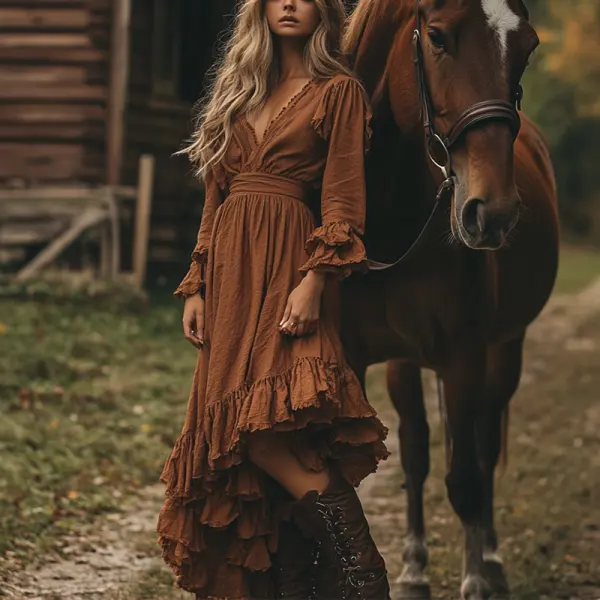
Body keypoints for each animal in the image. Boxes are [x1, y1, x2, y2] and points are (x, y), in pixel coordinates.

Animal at [340, 1, 560, 600]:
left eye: (527, 46)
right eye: (436, 38)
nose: (494, 213)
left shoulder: (465, 358)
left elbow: (464, 478)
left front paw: (477, 576)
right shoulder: (355, 359)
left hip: (505, 349)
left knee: (482, 447)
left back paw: (492, 555)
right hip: (404, 363)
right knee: (417, 448)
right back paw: (416, 566)